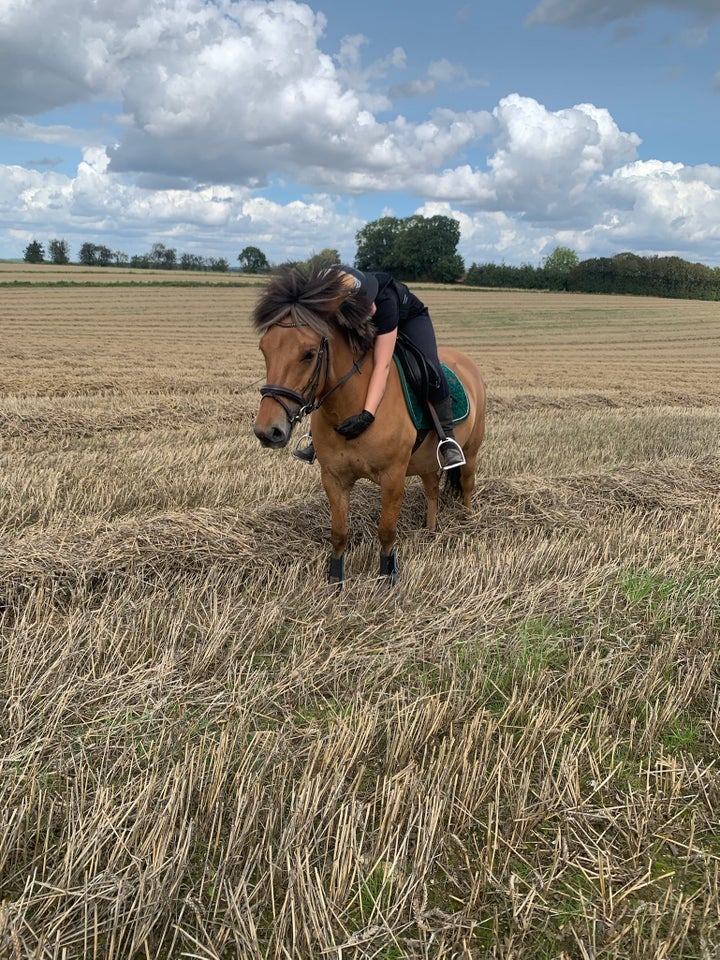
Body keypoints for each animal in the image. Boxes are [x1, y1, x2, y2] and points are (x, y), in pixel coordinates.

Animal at [250, 264, 486, 584]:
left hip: (471, 450)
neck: (352, 409)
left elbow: (386, 532)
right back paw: (431, 530)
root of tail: (468, 365)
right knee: (432, 490)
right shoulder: (333, 478)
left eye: (308, 354)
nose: (267, 431)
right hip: (427, 461)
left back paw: (467, 523)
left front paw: (388, 578)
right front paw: (336, 582)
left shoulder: (393, 478)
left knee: (467, 485)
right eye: (265, 349)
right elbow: (339, 534)